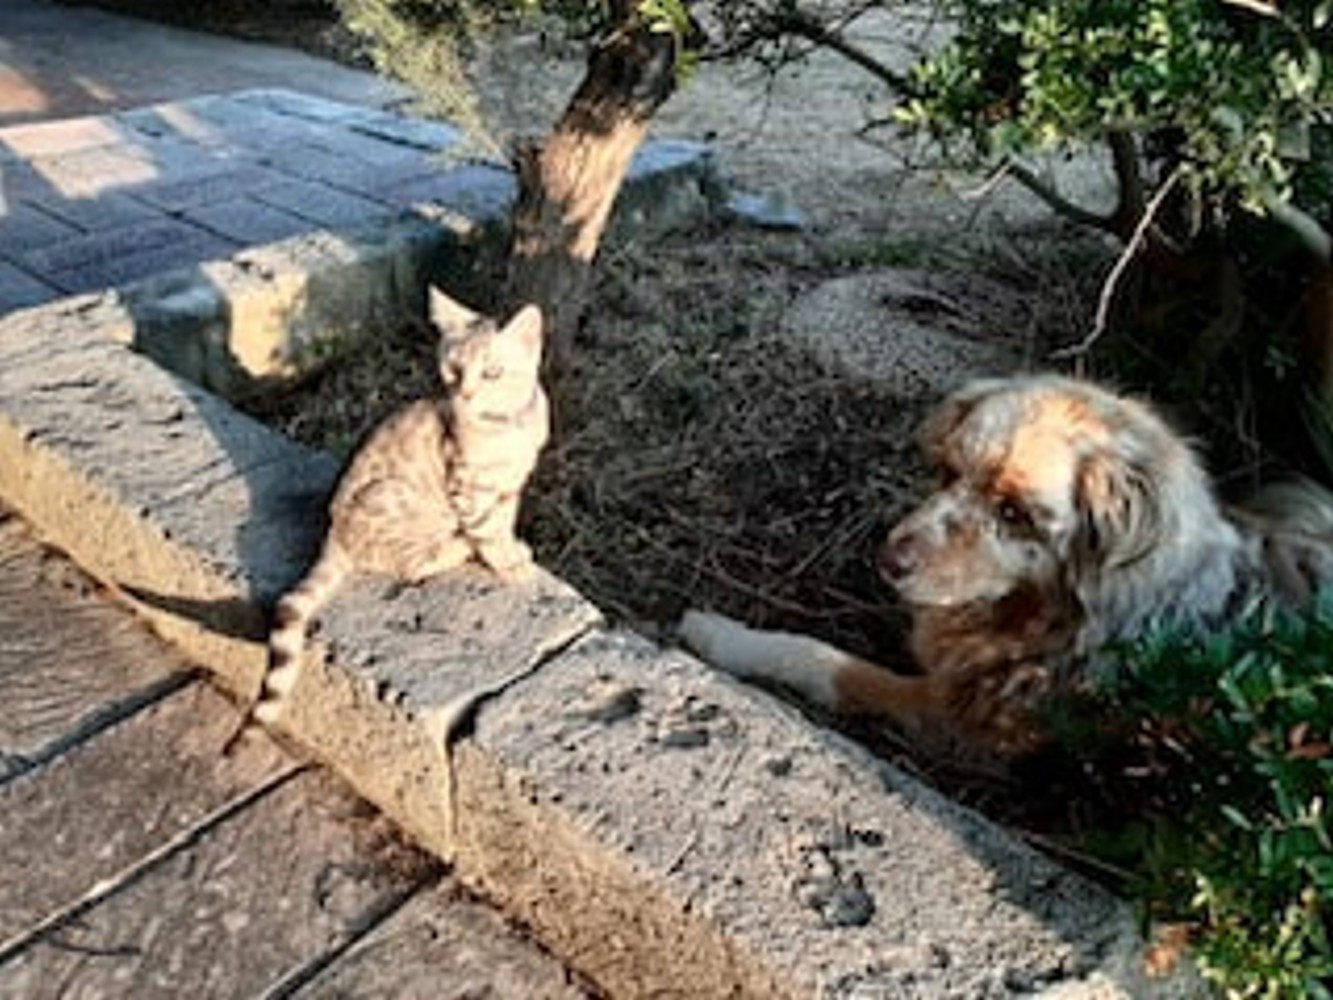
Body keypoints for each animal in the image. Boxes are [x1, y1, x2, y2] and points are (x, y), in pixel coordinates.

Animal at [250, 289, 546, 730]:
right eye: (453, 369)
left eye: (493, 372)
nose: (464, 395)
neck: (504, 427)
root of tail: (333, 535)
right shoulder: (467, 485)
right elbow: (487, 531)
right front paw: (508, 563)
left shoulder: (511, 485)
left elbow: (503, 522)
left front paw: (512, 547)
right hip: (391, 495)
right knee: (410, 563)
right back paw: (456, 546)